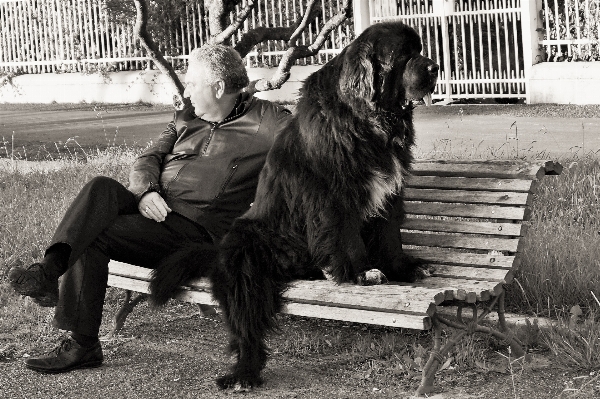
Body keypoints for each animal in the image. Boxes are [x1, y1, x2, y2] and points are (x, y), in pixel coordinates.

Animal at [150, 21, 438, 390]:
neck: (366, 117)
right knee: (246, 321)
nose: (435, 67)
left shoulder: (389, 189)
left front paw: (404, 267)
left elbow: (390, 236)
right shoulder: (333, 193)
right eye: (403, 55)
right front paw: (359, 272)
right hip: (246, 255)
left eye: (419, 50)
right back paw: (244, 372)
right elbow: (346, 235)